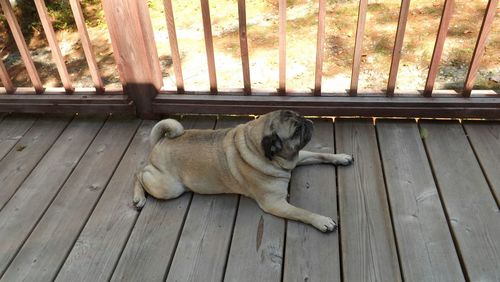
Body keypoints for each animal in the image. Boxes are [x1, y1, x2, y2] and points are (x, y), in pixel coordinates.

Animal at [133, 109, 352, 231]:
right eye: (296, 130)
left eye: (301, 116)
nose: (308, 121)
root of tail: (161, 141)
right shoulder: (274, 203)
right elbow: (302, 212)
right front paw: (321, 220)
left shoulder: (298, 157)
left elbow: (321, 155)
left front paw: (340, 157)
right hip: (168, 188)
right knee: (139, 174)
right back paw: (138, 198)